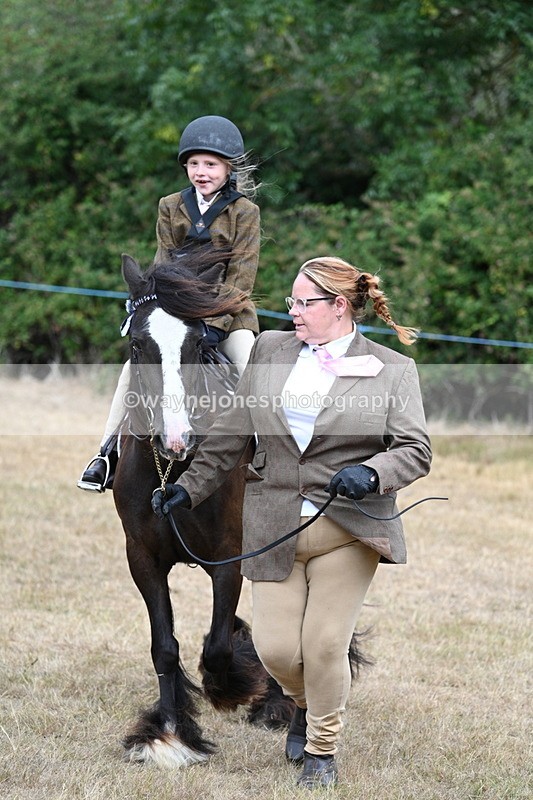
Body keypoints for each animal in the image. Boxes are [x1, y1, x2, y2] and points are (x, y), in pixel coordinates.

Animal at [112, 253, 294, 767]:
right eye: (137, 344)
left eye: (198, 342)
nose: (176, 440)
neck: (175, 473)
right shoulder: (142, 557)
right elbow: (164, 647)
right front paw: (168, 735)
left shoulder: (228, 559)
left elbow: (217, 647)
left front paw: (231, 687)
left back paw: (277, 706)